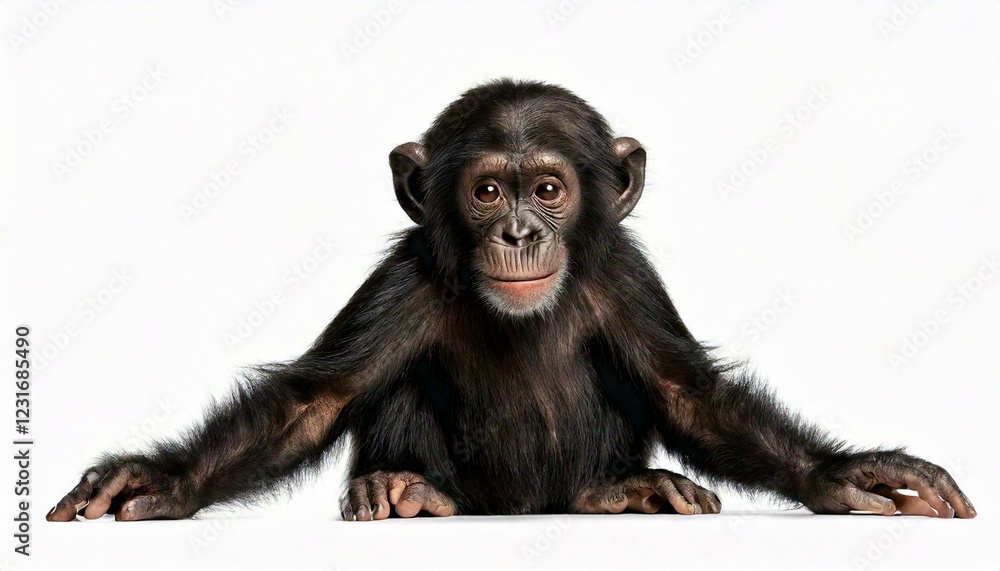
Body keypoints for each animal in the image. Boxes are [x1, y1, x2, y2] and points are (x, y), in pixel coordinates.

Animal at [48, 79, 976, 522]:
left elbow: (688, 394)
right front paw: (161, 481)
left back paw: (621, 489)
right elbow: (313, 400)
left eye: (550, 188)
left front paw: (844, 476)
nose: (521, 229)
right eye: (489, 189)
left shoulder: (627, 276)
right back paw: (403, 487)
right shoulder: (404, 280)